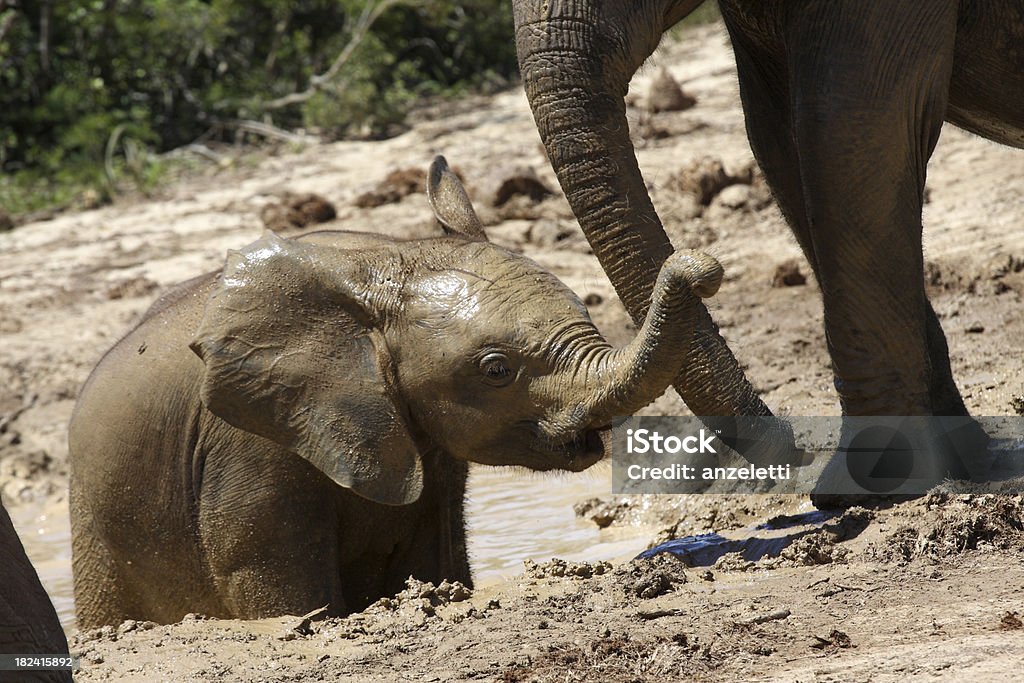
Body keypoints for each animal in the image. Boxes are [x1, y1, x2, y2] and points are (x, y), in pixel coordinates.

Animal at [68, 157, 724, 626]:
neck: (383, 260)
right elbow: (264, 573)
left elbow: (435, 556)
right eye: (495, 370)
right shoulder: (249, 445)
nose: (702, 268)